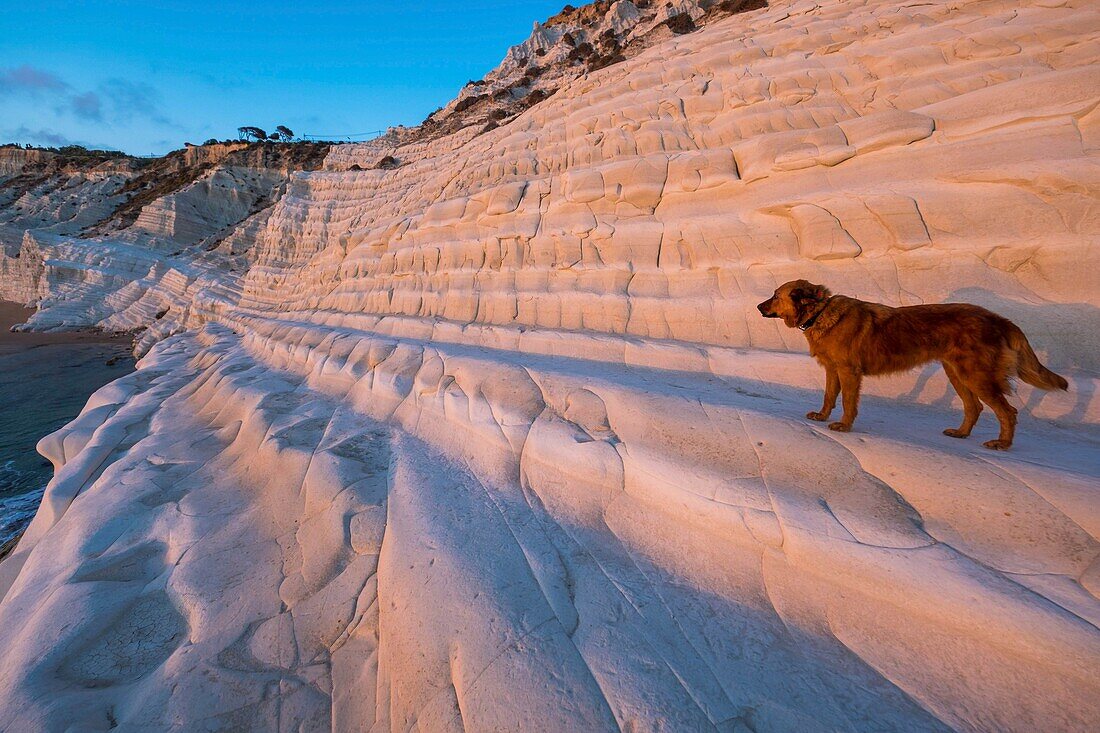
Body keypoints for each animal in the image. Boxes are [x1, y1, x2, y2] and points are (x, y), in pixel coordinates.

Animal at [756, 278, 1064, 444]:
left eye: (775, 295)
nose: (758, 306)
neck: (820, 313)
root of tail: (999, 318)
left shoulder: (849, 371)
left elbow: (847, 402)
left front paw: (844, 425)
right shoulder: (833, 370)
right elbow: (829, 396)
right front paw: (822, 417)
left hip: (975, 375)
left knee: (1007, 411)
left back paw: (1002, 443)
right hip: (957, 373)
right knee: (974, 407)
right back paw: (961, 433)